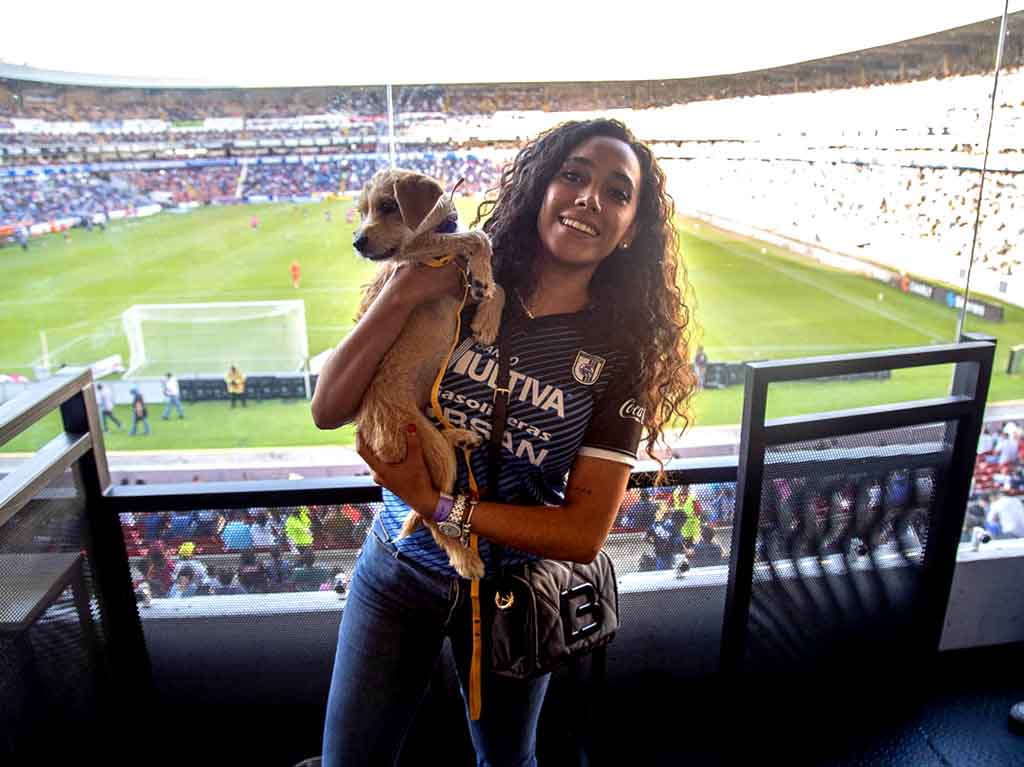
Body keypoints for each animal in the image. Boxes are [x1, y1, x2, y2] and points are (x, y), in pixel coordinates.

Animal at [354, 167, 505, 573]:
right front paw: (483, 269)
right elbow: (476, 236)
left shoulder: (459, 293)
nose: (357, 241)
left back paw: (462, 436)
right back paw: (465, 560)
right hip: (424, 442)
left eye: (387, 205)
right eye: (363, 211)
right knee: (431, 513)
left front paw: (487, 319)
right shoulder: (416, 253)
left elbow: (497, 288)